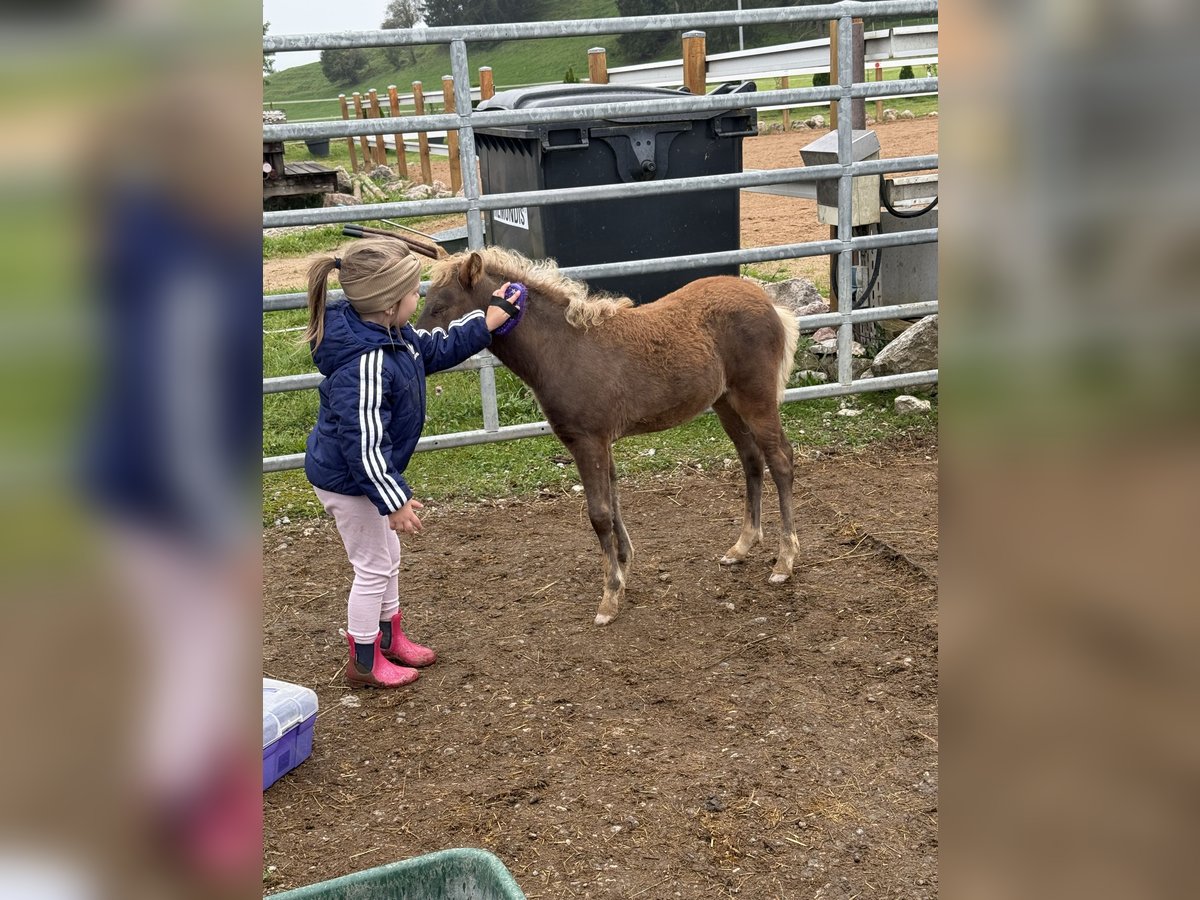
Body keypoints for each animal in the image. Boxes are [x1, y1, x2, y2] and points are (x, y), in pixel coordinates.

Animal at [417, 247, 801, 625]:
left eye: (439, 306)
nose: (417, 347)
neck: (563, 348)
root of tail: (768, 302)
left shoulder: (587, 441)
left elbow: (599, 513)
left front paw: (609, 596)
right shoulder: (602, 442)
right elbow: (614, 502)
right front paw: (624, 566)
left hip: (755, 398)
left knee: (781, 460)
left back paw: (785, 561)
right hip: (725, 403)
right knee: (751, 460)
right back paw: (742, 546)